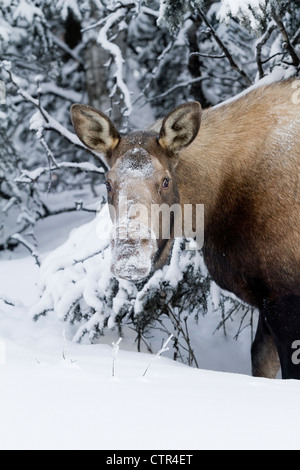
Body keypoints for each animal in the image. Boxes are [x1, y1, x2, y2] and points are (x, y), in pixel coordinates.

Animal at [72, 80, 300, 382]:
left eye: (165, 181)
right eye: (108, 183)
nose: (129, 257)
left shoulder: (284, 297)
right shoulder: (267, 299)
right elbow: (261, 364)